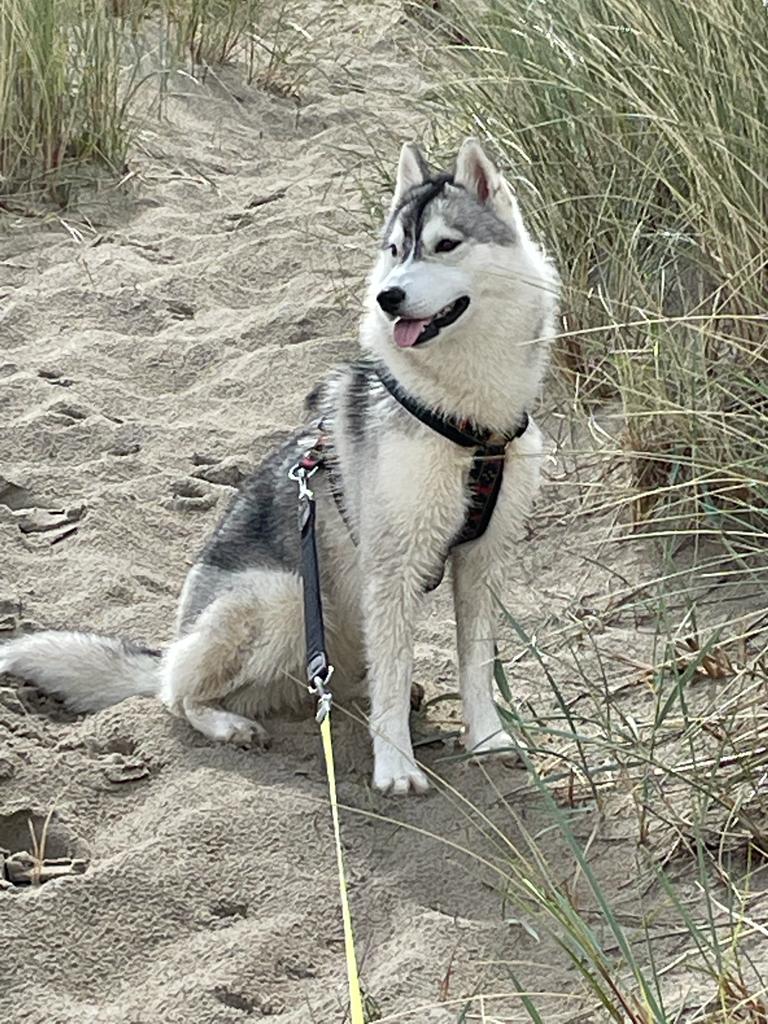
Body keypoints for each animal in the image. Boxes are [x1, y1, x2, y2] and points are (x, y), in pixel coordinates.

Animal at [3, 138, 561, 790]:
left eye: (446, 245)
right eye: (395, 251)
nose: (388, 297)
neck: (468, 422)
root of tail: (173, 644)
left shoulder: (481, 559)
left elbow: (475, 662)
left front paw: (490, 739)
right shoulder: (391, 568)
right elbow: (393, 675)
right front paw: (396, 766)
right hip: (285, 597)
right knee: (176, 694)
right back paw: (230, 725)